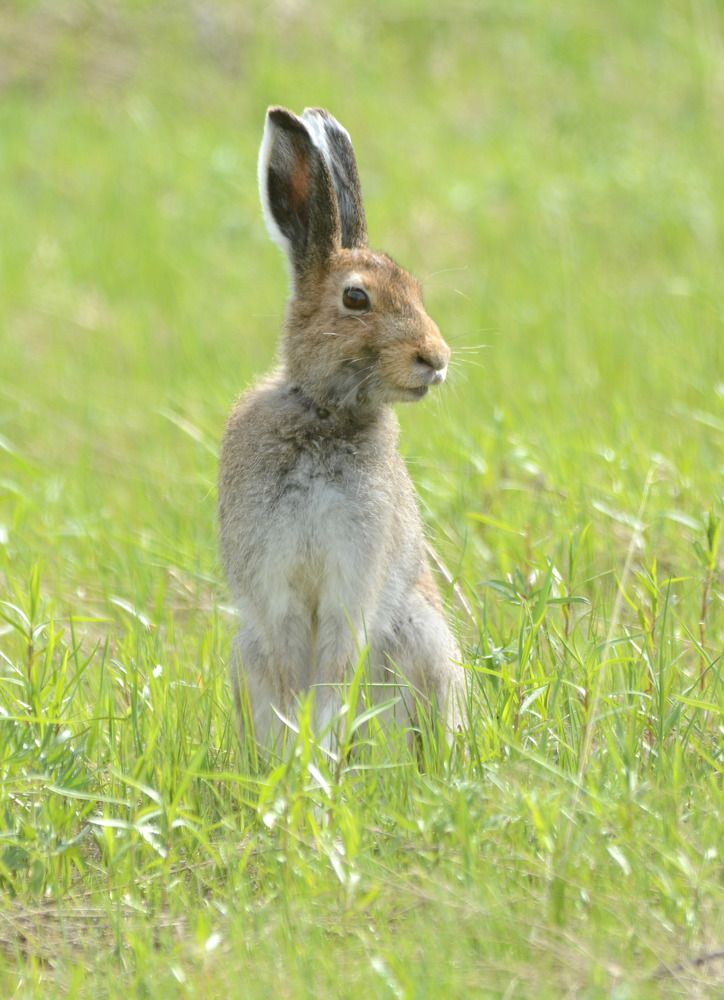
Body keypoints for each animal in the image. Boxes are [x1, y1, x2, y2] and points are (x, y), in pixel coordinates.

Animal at [219, 106, 465, 749]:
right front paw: (296, 749)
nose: (436, 358)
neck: (322, 413)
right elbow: (291, 672)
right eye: (356, 299)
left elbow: (334, 665)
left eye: (418, 292)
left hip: (418, 630)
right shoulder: (274, 586)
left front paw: (318, 743)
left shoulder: (353, 582)